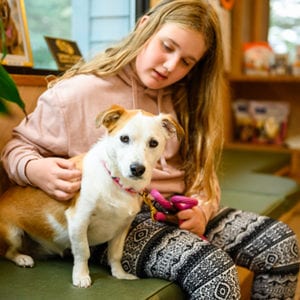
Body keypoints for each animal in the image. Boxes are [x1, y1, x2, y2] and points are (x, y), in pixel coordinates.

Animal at [0, 104, 184, 288]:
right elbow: (83, 252)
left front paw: (119, 274)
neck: (115, 181)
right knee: (7, 252)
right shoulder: (79, 220)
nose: (137, 169)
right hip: (13, 234)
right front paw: (81, 277)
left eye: (153, 143)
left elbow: (115, 254)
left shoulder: (122, 228)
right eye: (124, 138)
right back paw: (23, 258)